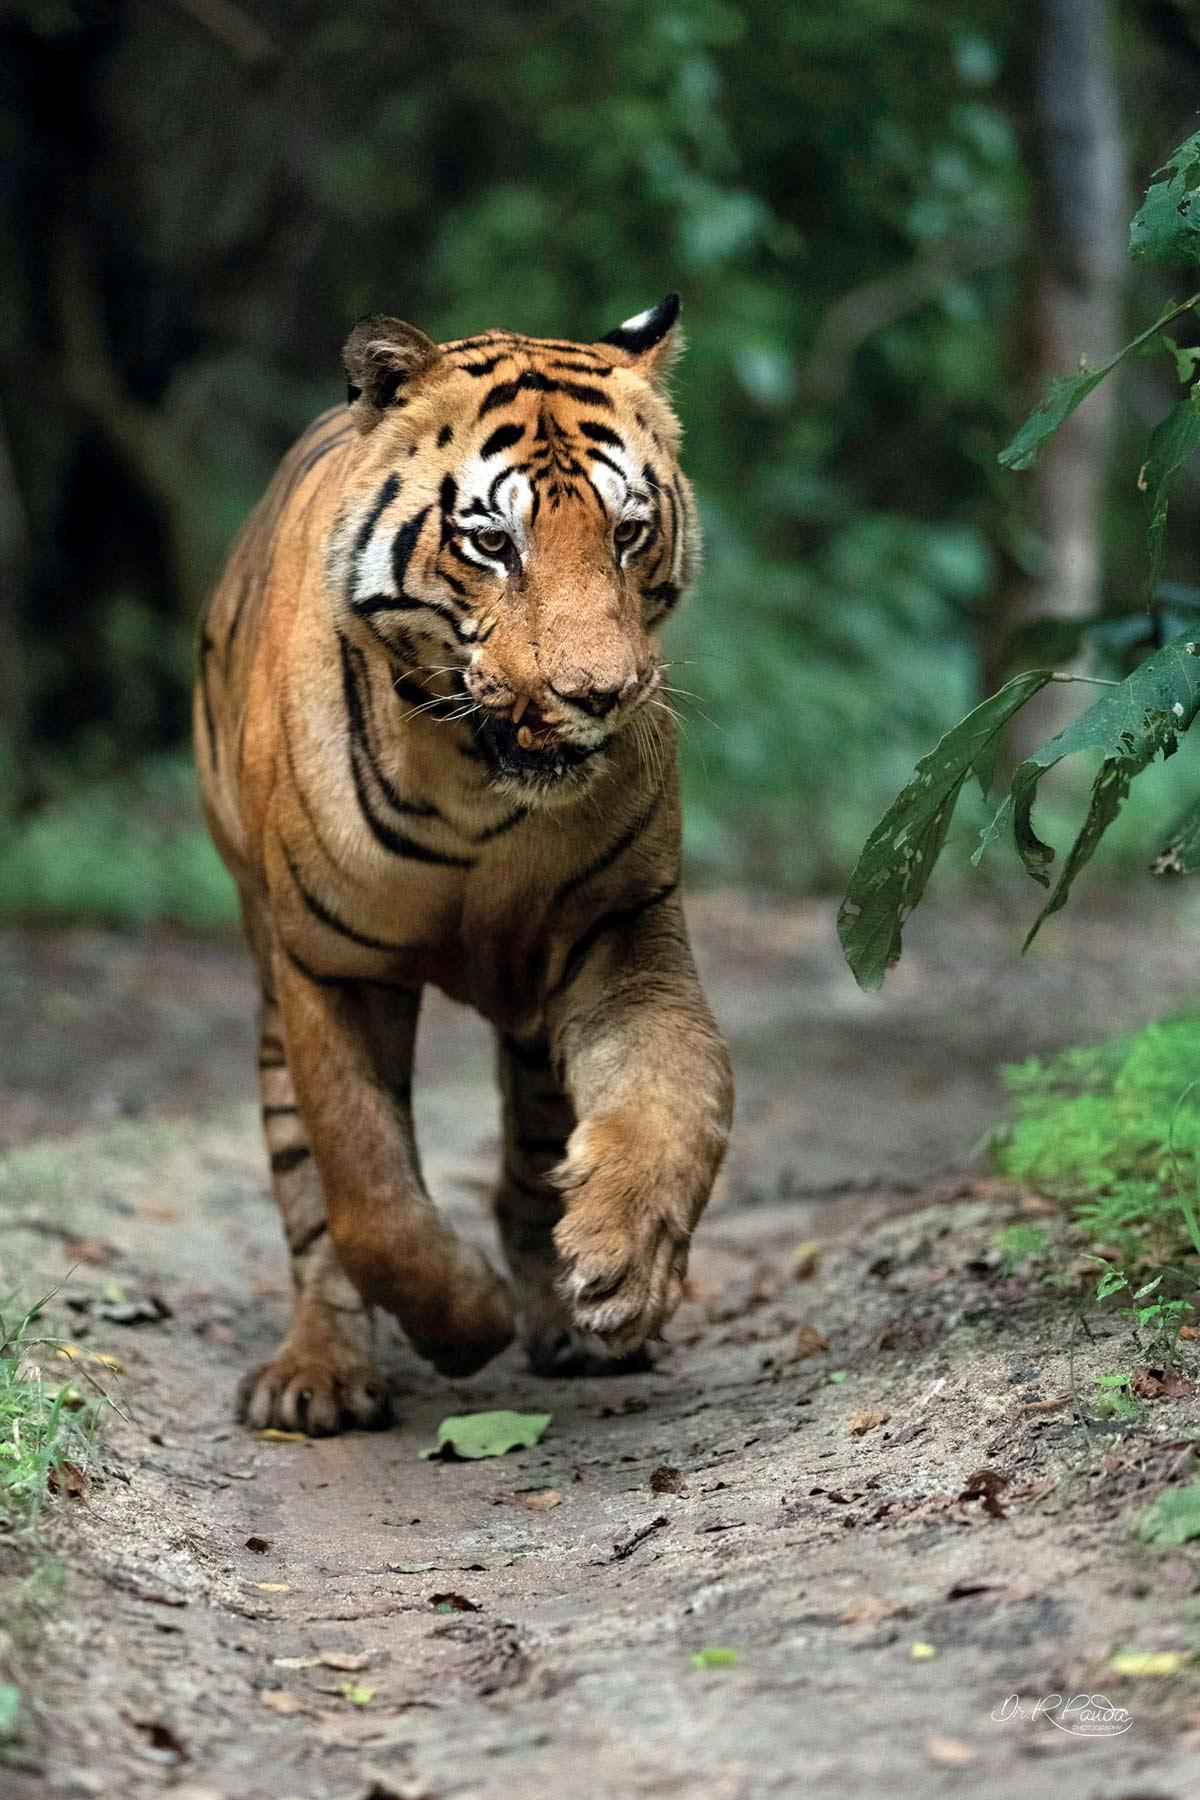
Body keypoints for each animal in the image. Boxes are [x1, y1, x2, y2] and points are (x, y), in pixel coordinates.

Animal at [194, 292, 734, 1434]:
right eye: (492, 540)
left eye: (628, 531)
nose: (600, 693)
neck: (482, 797)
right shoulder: (332, 968)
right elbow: (366, 1192)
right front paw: (464, 1322)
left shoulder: (621, 927)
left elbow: (674, 1091)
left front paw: (624, 1262)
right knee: (308, 1191)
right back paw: (318, 1376)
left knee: (532, 1147)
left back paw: (569, 1322)